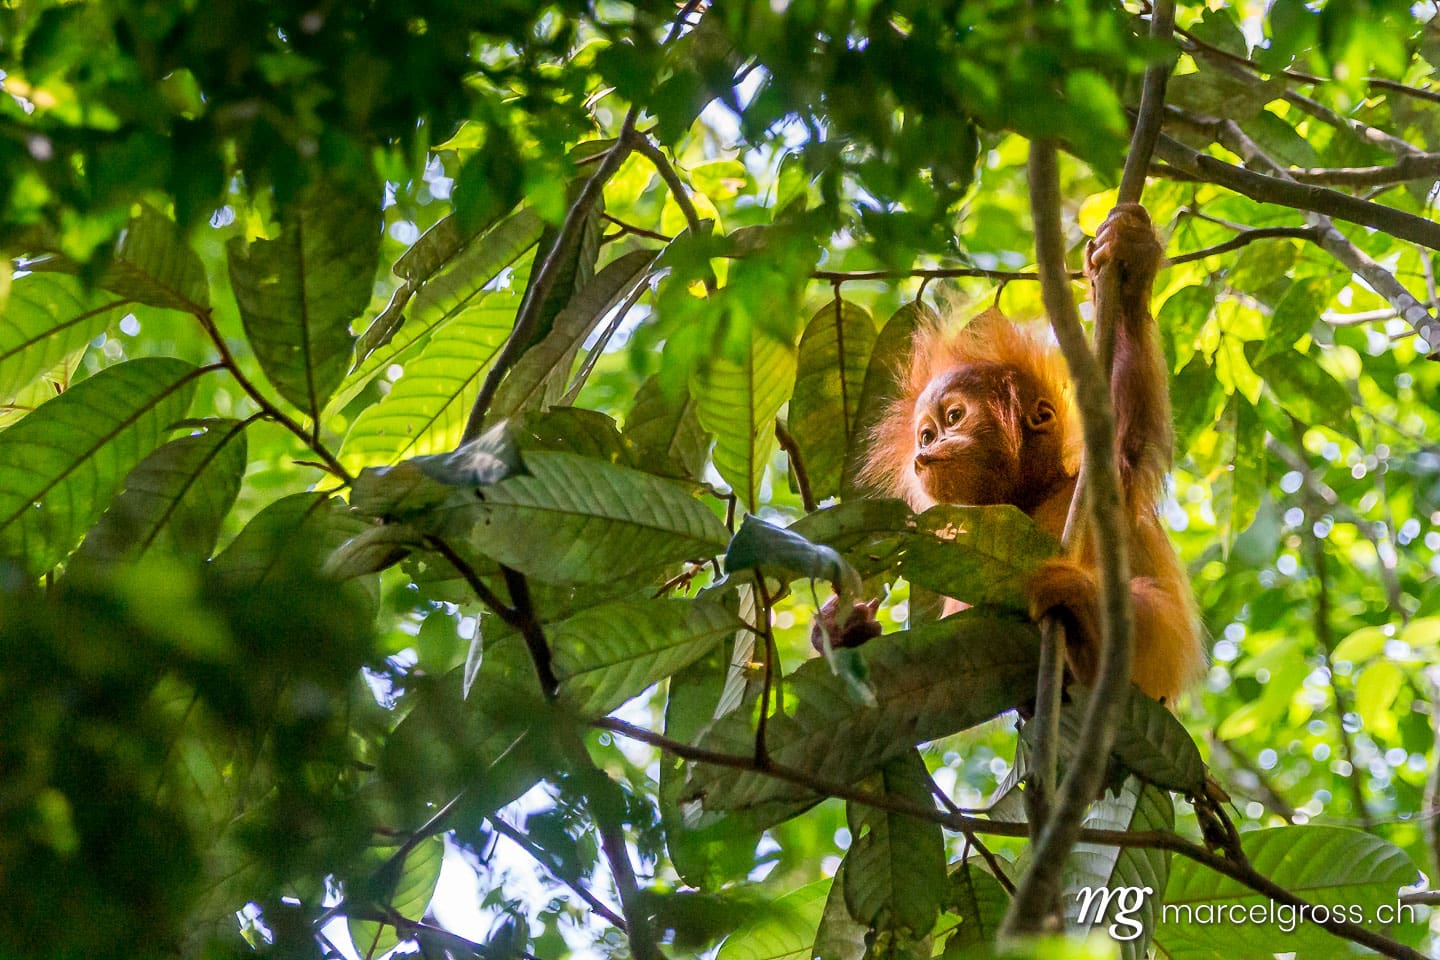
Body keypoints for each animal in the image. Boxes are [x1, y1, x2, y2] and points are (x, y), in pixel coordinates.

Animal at [815, 204, 1203, 705]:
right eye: (926, 434)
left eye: (954, 416)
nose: (927, 450)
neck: (1034, 496)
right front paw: (840, 630)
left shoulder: (1103, 478)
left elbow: (1129, 435)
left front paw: (1130, 264)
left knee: (1143, 602)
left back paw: (1088, 623)